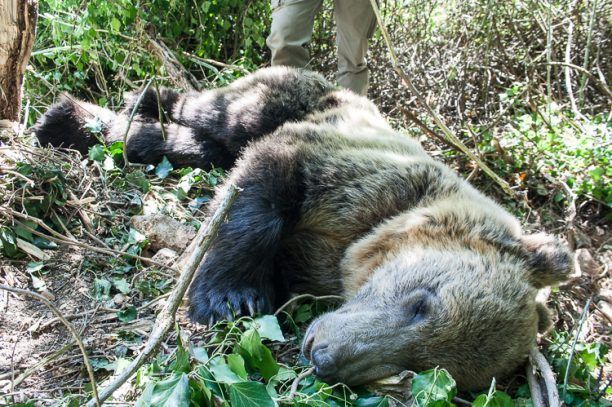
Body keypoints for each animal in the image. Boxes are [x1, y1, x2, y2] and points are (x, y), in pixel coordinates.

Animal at [33, 67, 572, 392]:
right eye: (422, 302)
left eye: (422, 368)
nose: (324, 355)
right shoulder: (350, 173)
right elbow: (262, 194)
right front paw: (230, 297)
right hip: (283, 96)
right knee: (212, 113)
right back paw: (87, 112)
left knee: (193, 144)